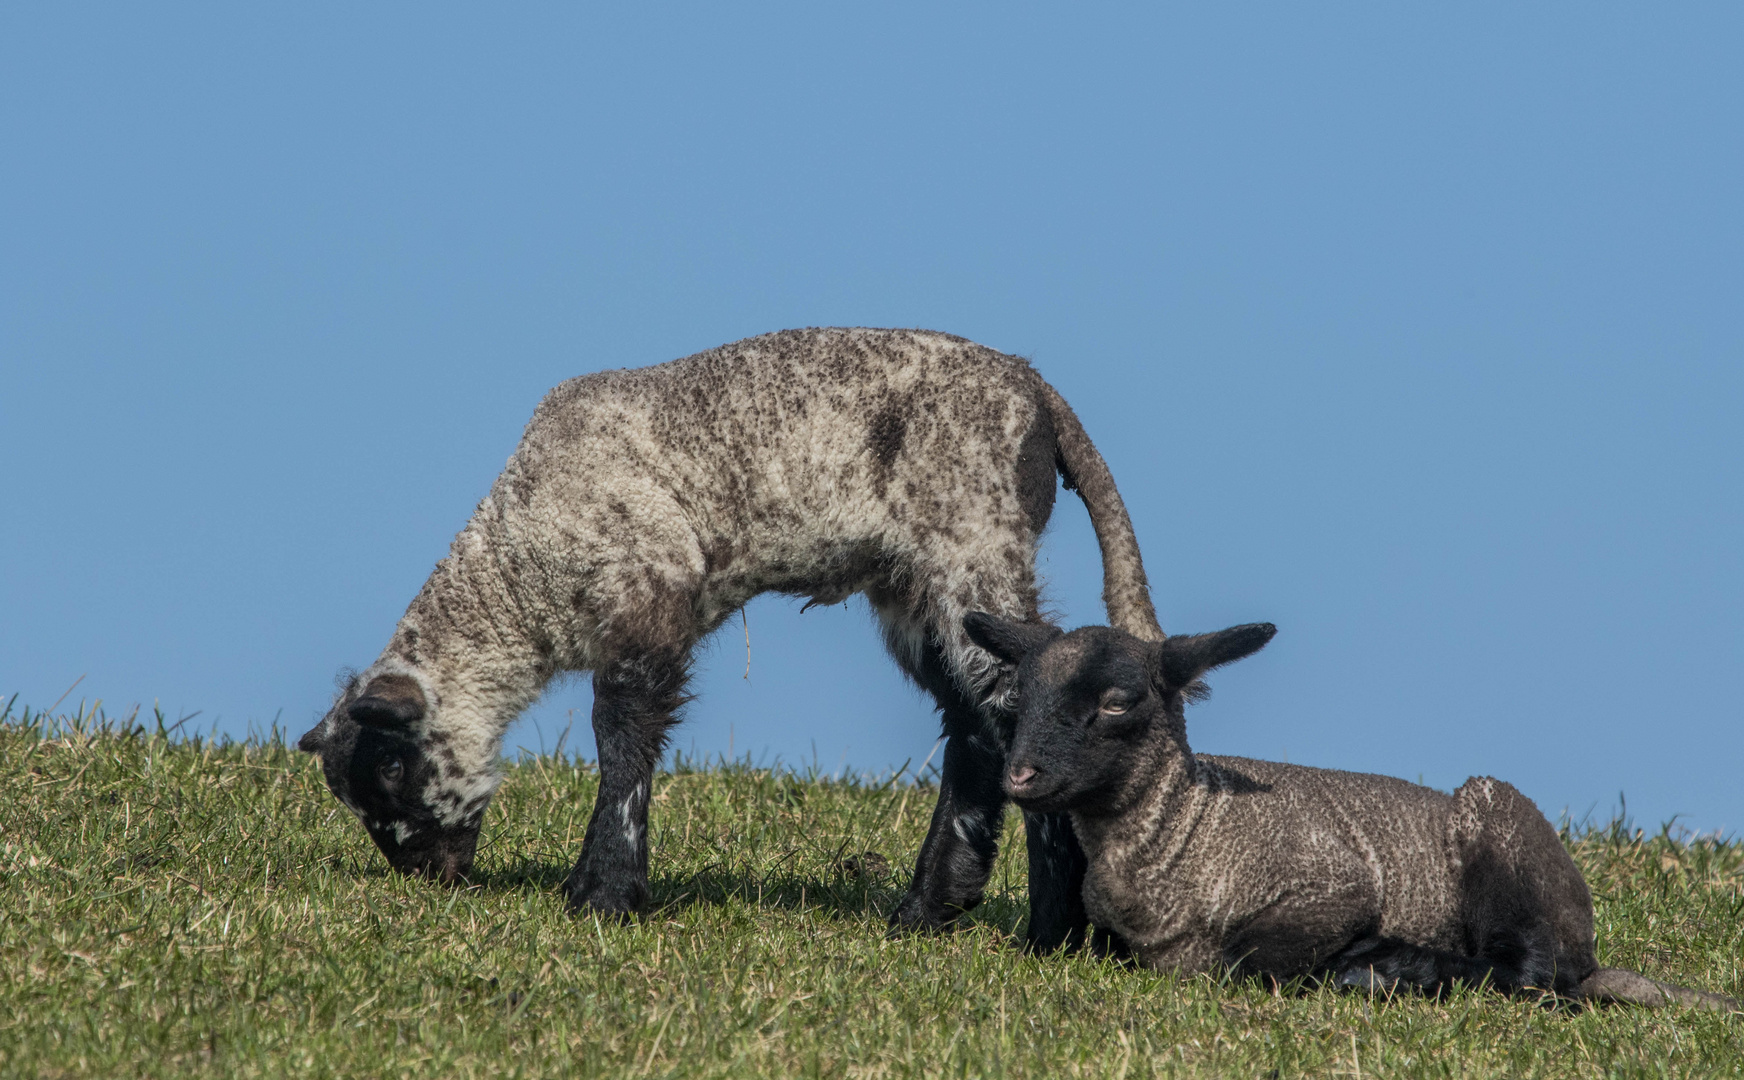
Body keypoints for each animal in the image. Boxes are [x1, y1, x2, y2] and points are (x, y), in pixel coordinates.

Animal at [298, 324, 1164, 949]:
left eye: (390, 769)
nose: (427, 875)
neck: (520, 574)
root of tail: (1039, 393)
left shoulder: (646, 593)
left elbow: (622, 742)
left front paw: (604, 896)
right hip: (912, 581)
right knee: (974, 723)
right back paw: (928, 911)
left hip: (973, 538)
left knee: (1020, 698)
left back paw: (1051, 931)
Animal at [962, 614, 1737, 1011]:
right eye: (1019, 696)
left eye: (1118, 701)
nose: (1020, 777)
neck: (1184, 828)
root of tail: (1592, 948)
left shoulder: (1333, 886)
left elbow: (1247, 960)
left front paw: (1368, 963)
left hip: (1501, 823)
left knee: (1533, 977)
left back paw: (1398, 971)